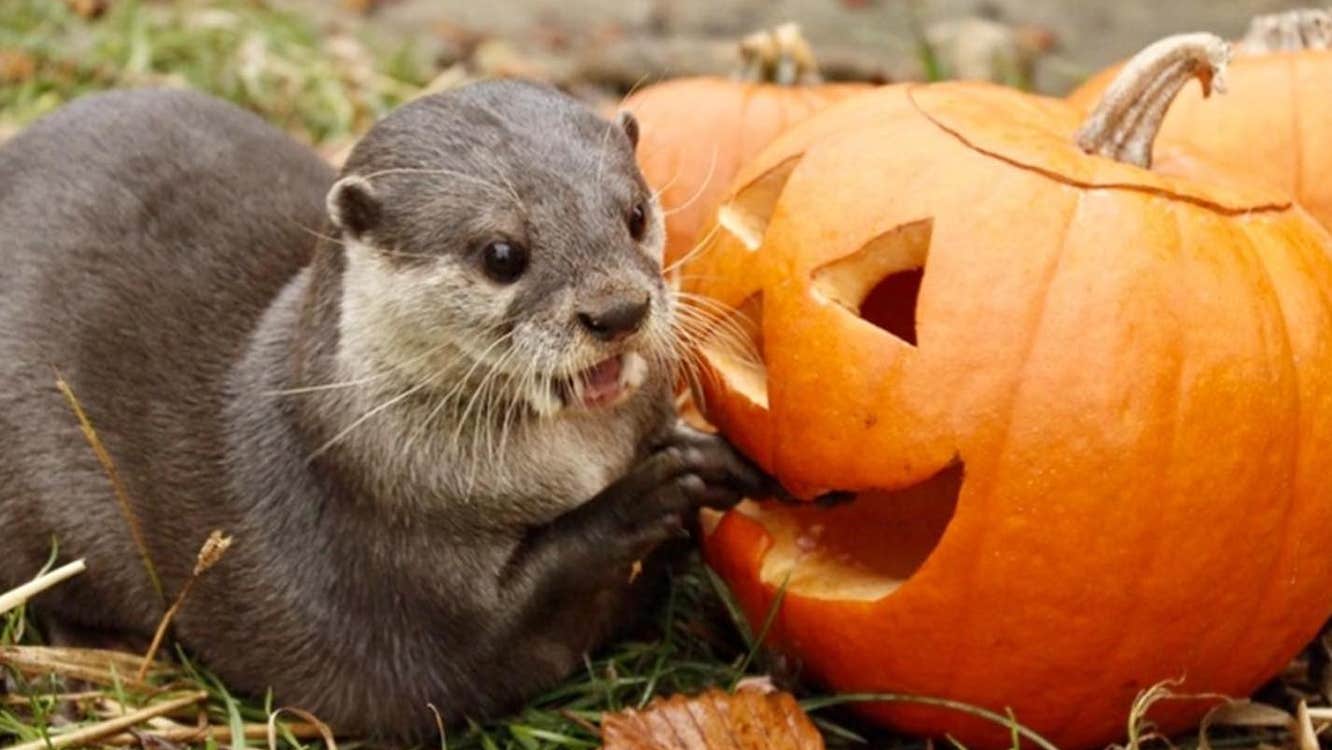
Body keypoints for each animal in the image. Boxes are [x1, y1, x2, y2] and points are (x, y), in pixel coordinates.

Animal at [0, 83, 766, 737]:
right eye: (502, 254)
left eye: (635, 214)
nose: (617, 310)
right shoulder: (384, 565)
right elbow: (490, 633)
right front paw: (648, 493)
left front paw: (715, 461)